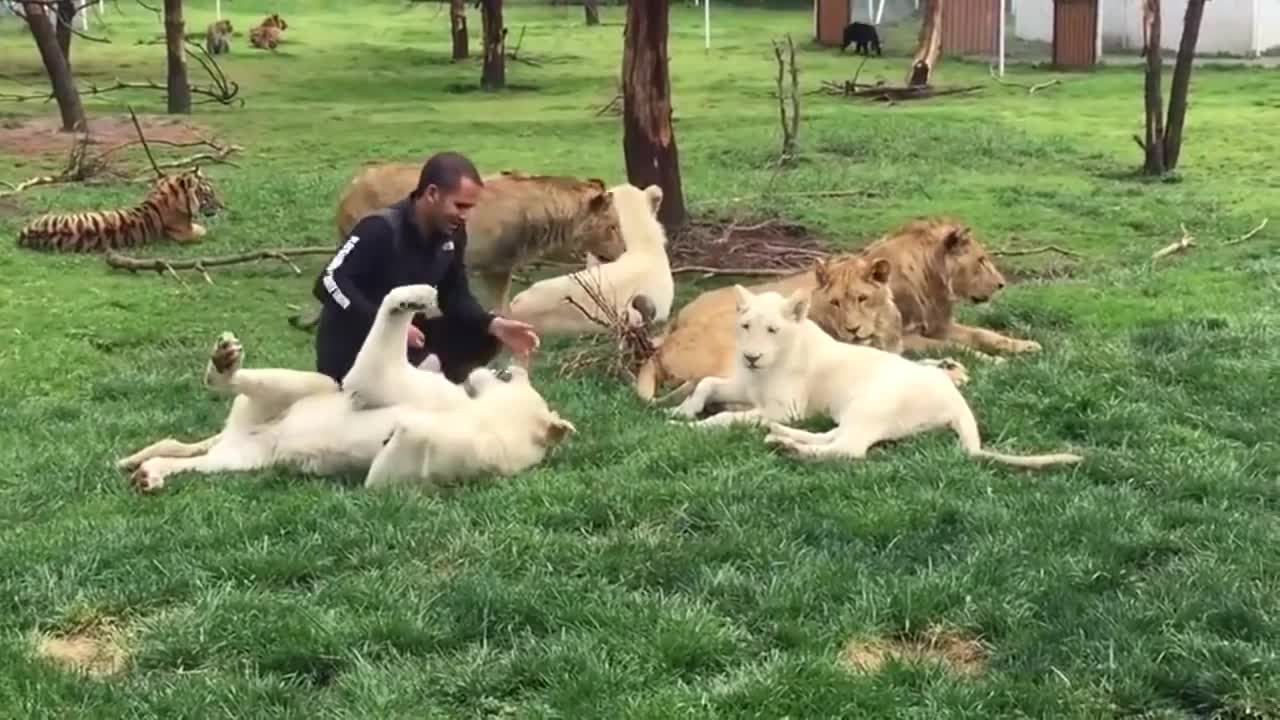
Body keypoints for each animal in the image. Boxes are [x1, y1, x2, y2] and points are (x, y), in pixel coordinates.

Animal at [117, 283, 578, 489]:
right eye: (510, 375)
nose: (508, 365)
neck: (498, 421)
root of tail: (240, 433)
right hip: (310, 387)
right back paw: (225, 361)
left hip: (244, 458)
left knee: (200, 456)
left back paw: (150, 473)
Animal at [665, 283, 1085, 468]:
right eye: (745, 326)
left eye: (773, 330)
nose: (751, 357)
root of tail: (956, 400)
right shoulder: (744, 385)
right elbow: (706, 384)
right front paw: (681, 412)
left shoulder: (786, 407)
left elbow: (726, 416)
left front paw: (696, 426)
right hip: (854, 412)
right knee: (834, 436)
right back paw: (780, 438)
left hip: (870, 404)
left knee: (848, 449)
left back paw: (790, 447)